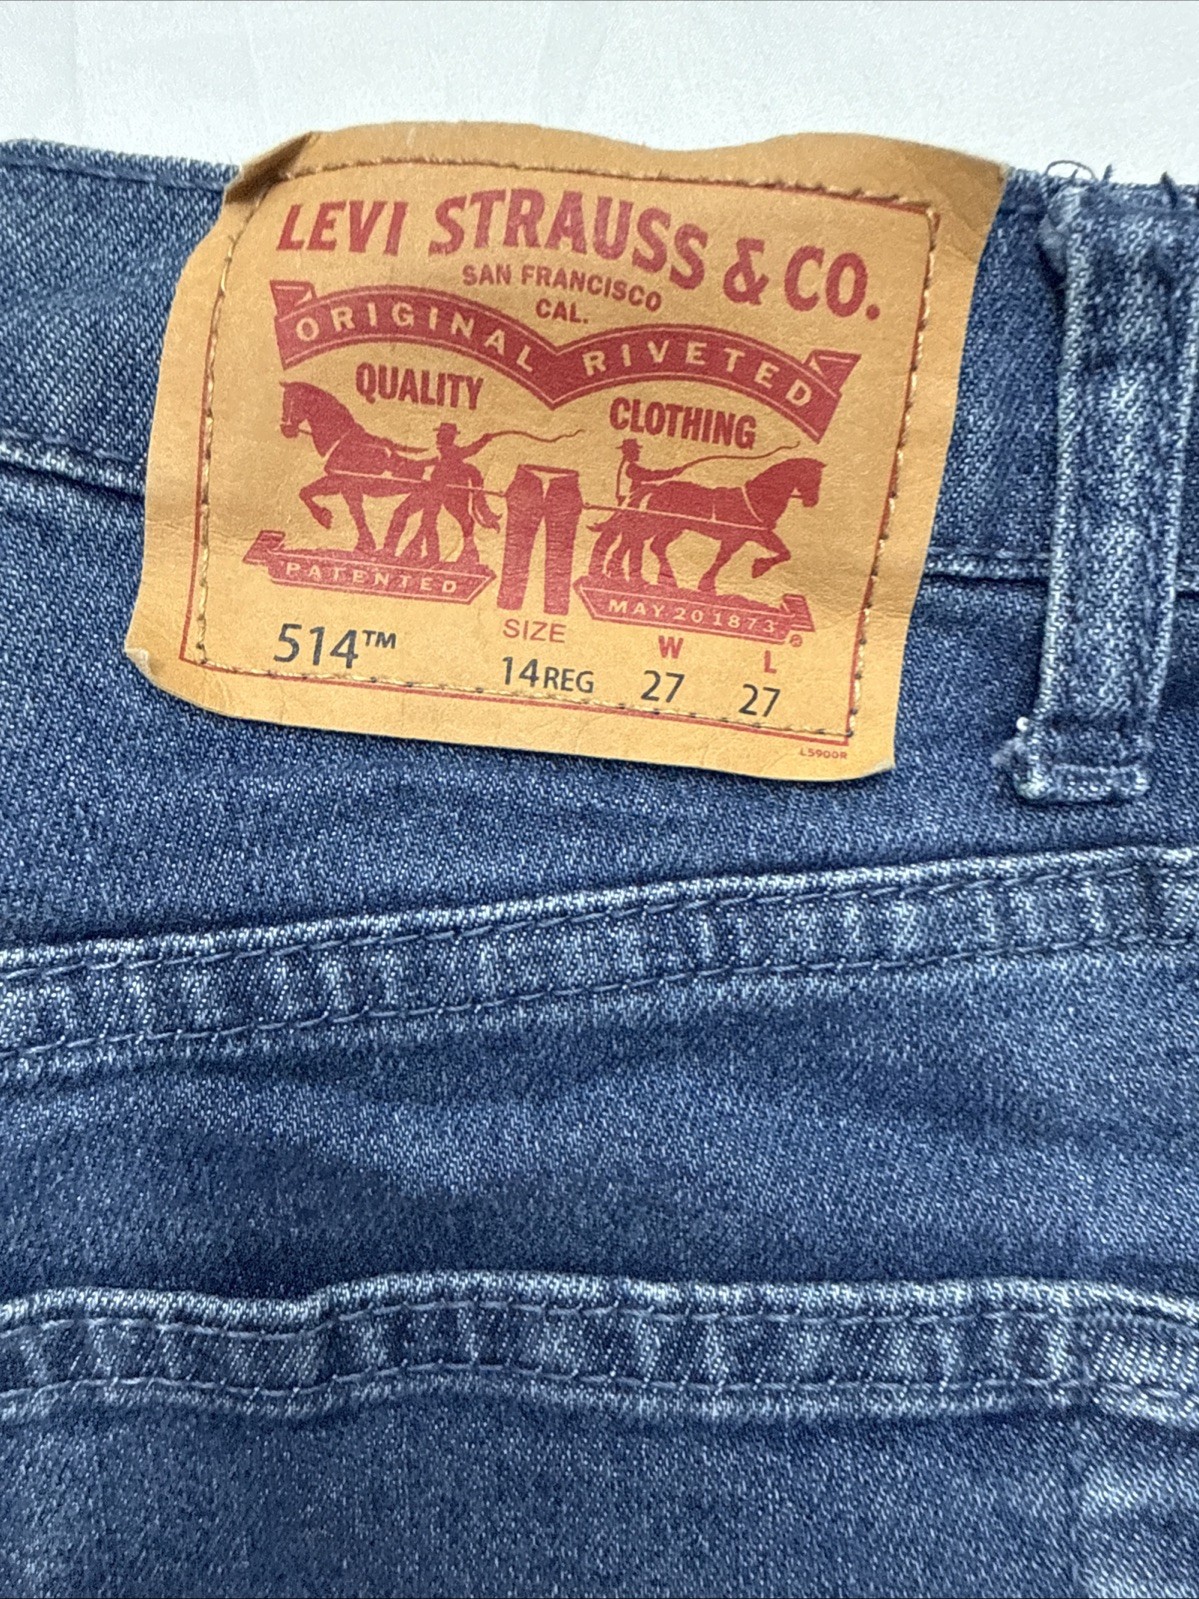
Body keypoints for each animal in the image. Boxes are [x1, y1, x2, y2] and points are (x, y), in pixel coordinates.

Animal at [279, 382, 426, 554]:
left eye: (295, 403)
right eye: (284, 402)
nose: (286, 429)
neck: (343, 440)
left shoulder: (347, 485)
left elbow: (356, 513)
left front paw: (364, 544)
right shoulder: (339, 483)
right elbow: (306, 492)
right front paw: (325, 517)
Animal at [588, 457, 824, 594]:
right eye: (813, 478)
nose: (812, 501)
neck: (757, 499)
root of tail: (656, 487)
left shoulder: (759, 535)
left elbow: (784, 552)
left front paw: (757, 568)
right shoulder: (734, 538)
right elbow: (722, 559)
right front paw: (708, 586)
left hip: (673, 527)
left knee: (650, 543)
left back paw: (658, 579)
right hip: (658, 522)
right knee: (634, 537)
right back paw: (623, 573)